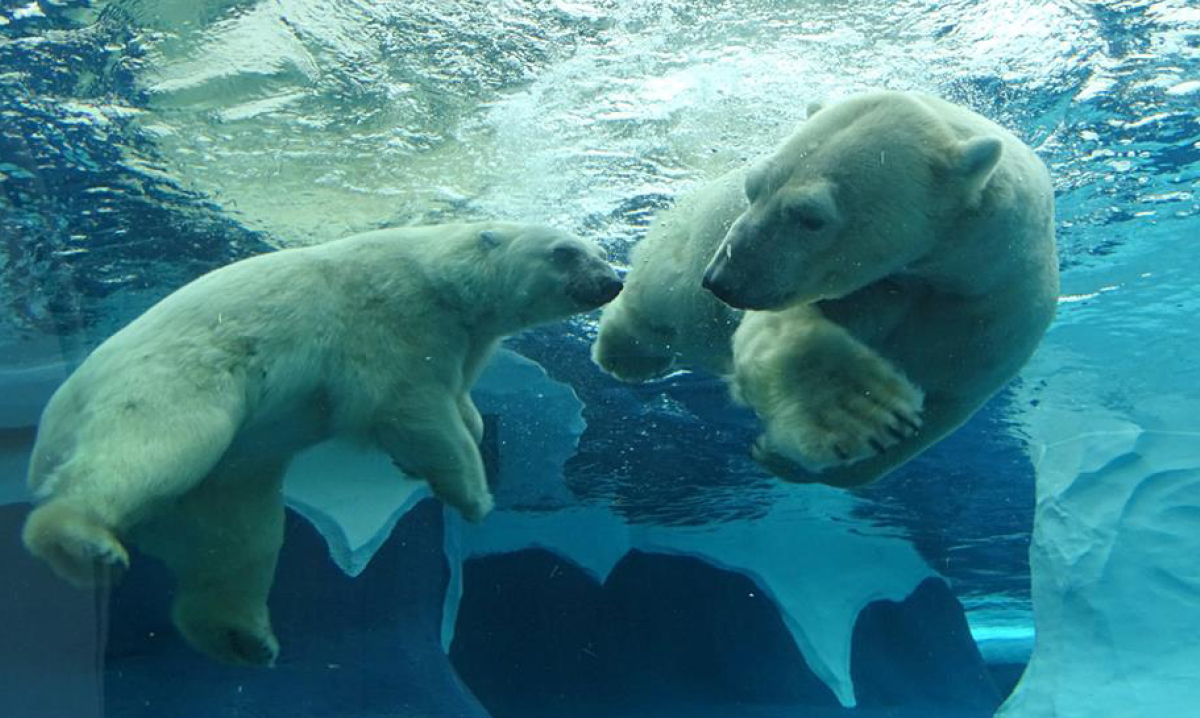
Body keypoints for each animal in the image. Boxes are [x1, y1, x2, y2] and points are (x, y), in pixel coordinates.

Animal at [22, 221, 622, 666]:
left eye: (600, 250)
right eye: (566, 252)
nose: (613, 281)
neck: (441, 275)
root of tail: (48, 433)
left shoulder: (462, 339)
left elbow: (456, 402)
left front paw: (466, 432)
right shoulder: (395, 319)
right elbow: (411, 404)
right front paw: (473, 496)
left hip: (228, 481)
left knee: (237, 542)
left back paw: (243, 638)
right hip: (172, 378)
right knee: (156, 443)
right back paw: (80, 539)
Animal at [596, 90, 1059, 488]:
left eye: (810, 216)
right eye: (752, 186)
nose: (722, 281)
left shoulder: (990, 311)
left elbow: (941, 405)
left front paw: (779, 456)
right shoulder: (847, 285)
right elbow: (784, 332)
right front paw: (861, 414)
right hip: (686, 243)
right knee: (660, 300)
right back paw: (624, 353)